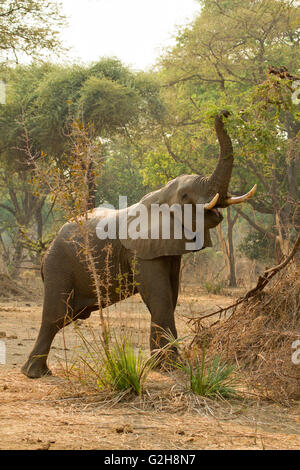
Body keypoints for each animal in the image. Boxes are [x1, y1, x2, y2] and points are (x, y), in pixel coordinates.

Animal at [21, 111, 255, 378]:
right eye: (185, 196)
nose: (224, 112)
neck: (159, 195)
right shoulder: (139, 252)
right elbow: (160, 297)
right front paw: (171, 368)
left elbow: (170, 296)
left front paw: (159, 366)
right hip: (58, 264)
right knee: (56, 314)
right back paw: (34, 373)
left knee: (67, 315)